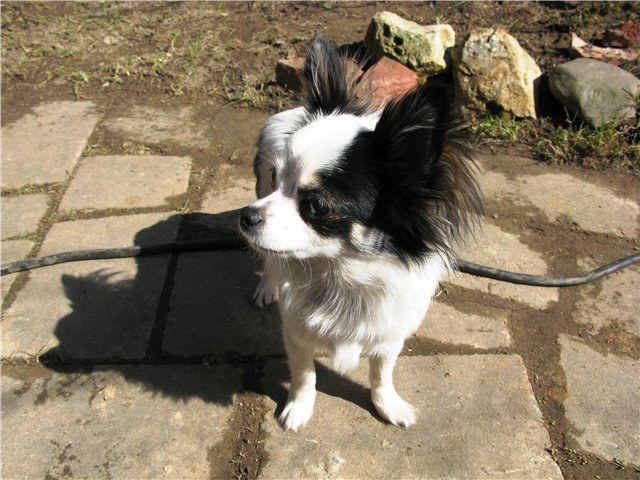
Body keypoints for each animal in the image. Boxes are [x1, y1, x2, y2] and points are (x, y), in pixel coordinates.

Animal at [239, 37, 483, 431]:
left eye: (317, 205)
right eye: (278, 180)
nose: (246, 216)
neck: (342, 273)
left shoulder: (389, 335)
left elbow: (381, 373)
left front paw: (388, 405)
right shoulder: (296, 331)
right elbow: (304, 373)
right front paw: (299, 408)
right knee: (271, 262)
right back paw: (267, 287)